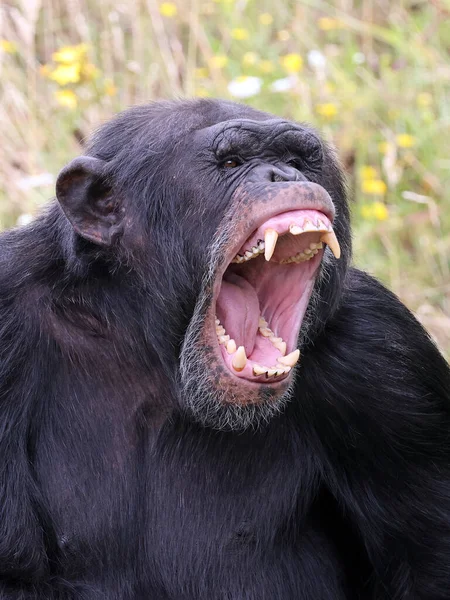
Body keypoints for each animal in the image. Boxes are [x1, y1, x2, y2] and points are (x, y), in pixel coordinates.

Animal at [0, 98, 448, 596]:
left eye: (298, 159)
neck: (154, 345)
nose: (283, 176)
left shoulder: (386, 359)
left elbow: (427, 562)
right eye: (232, 163)